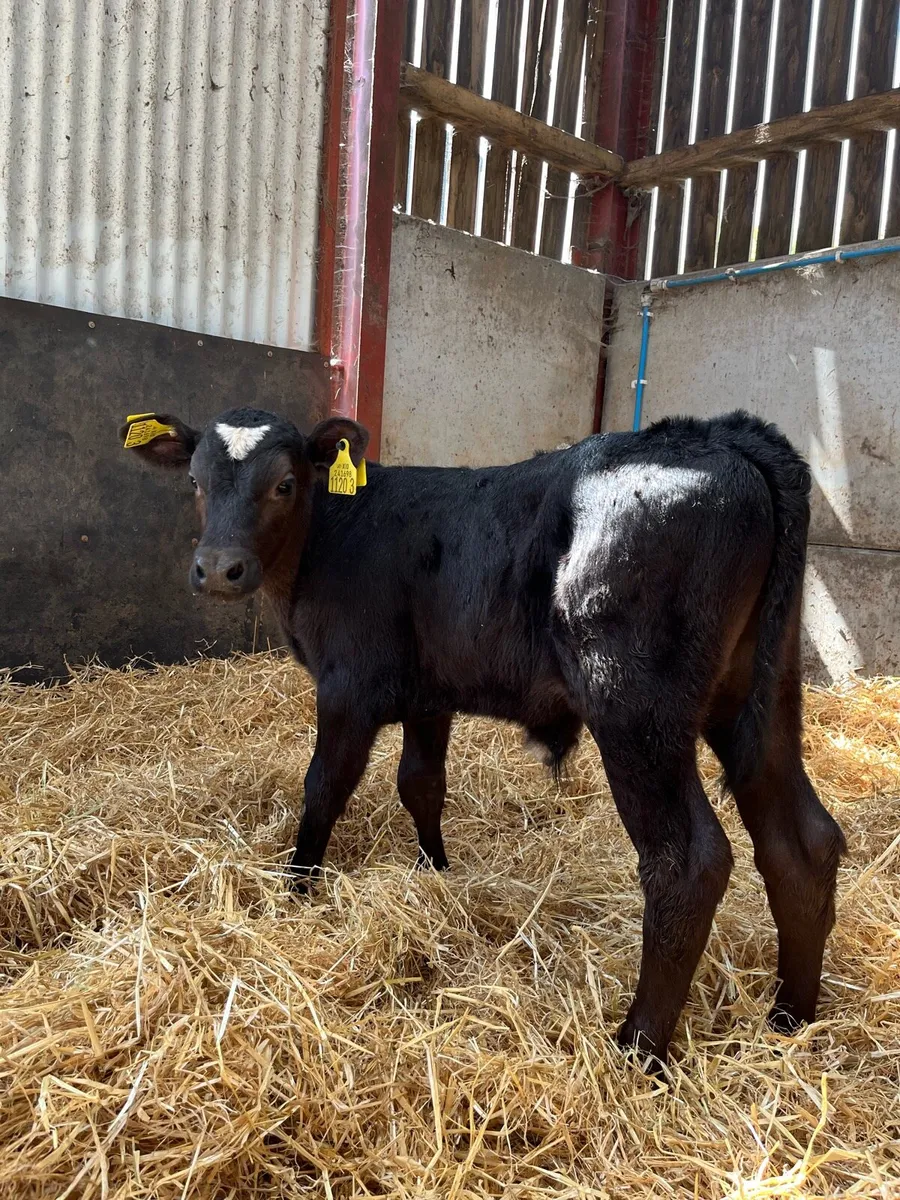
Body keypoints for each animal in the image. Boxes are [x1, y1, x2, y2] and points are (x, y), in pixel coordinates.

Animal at [121, 406, 845, 1063]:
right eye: (195, 481)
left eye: (285, 483)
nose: (219, 569)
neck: (330, 536)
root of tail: (721, 434)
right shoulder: (428, 693)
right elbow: (421, 784)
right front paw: (434, 870)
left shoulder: (349, 683)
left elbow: (325, 787)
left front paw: (298, 887)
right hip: (759, 698)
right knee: (802, 841)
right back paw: (789, 1019)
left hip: (636, 708)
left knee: (688, 861)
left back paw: (636, 1048)